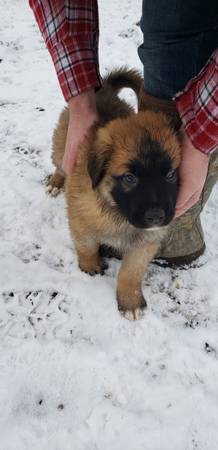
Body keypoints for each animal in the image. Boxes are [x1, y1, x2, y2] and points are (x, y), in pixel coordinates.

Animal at [48, 67, 181, 320]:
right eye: (129, 178)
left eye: (170, 175)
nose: (157, 217)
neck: (118, 214)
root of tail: (105, 90)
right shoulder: (80, 220)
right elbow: (86, 246)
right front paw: (90, 266)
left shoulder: (146, 243)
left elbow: (130, 273)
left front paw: (130, 301)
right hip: (62, 145)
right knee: (59, 163)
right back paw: (56, 182)